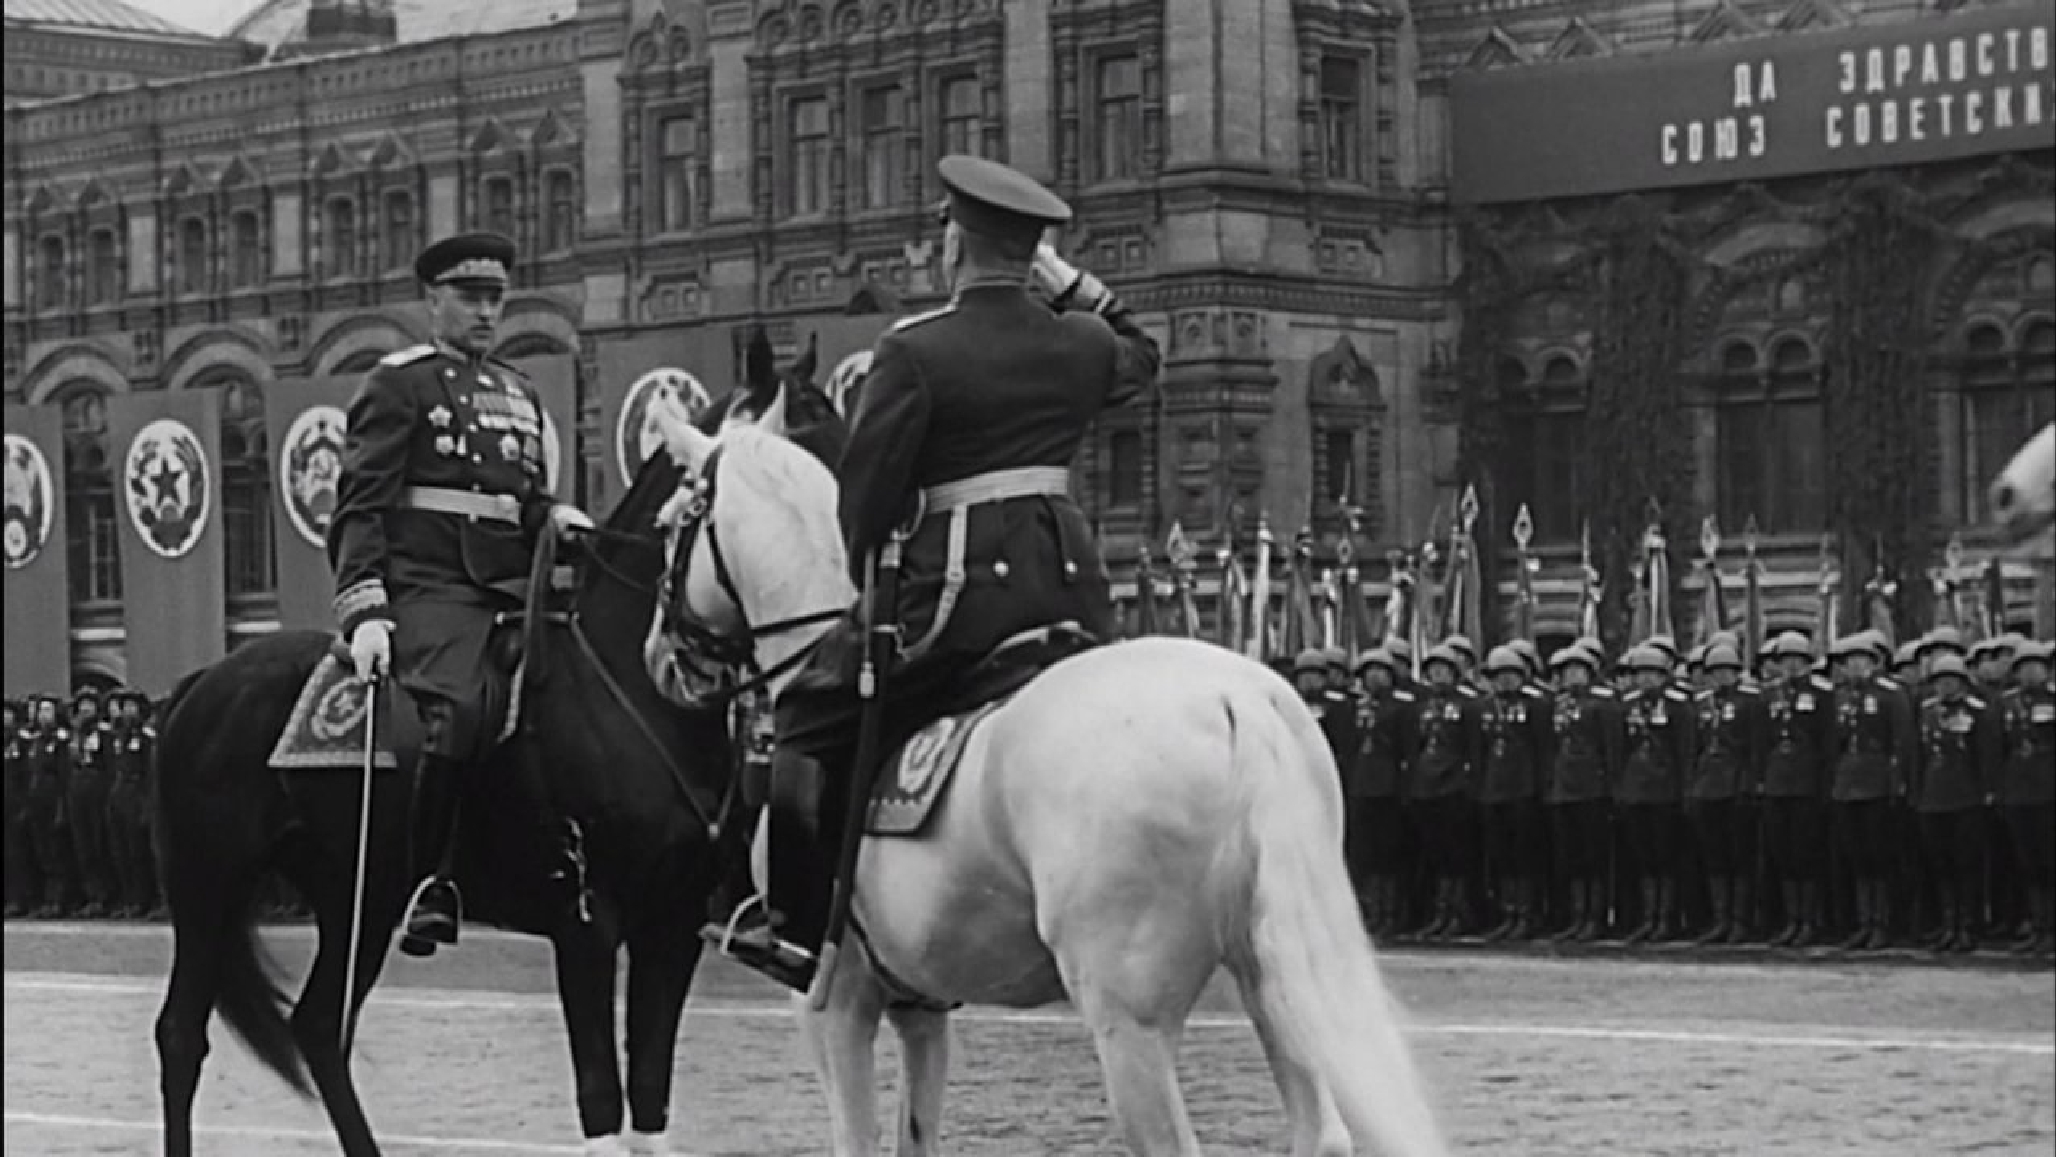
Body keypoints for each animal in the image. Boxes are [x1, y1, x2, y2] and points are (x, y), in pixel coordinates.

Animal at [147, 445, 740, 1157]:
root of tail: (204, 679)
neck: (636, 693)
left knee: (318, 1027)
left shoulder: (674, 924)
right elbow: (602, 1093)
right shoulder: (586, 922)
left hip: (358, 897)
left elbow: (650, 1090)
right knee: (183, 1036)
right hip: (209, 884)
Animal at [641, 392, 1447, 1157]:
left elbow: (857, 1139)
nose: (661, 659)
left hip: (1128, 1019)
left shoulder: (833, 1000)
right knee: (1320, 1131)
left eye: (671, 522)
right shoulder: (920, 1004)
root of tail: (1235, 699)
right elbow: (916, 1136)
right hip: (1276, 977)